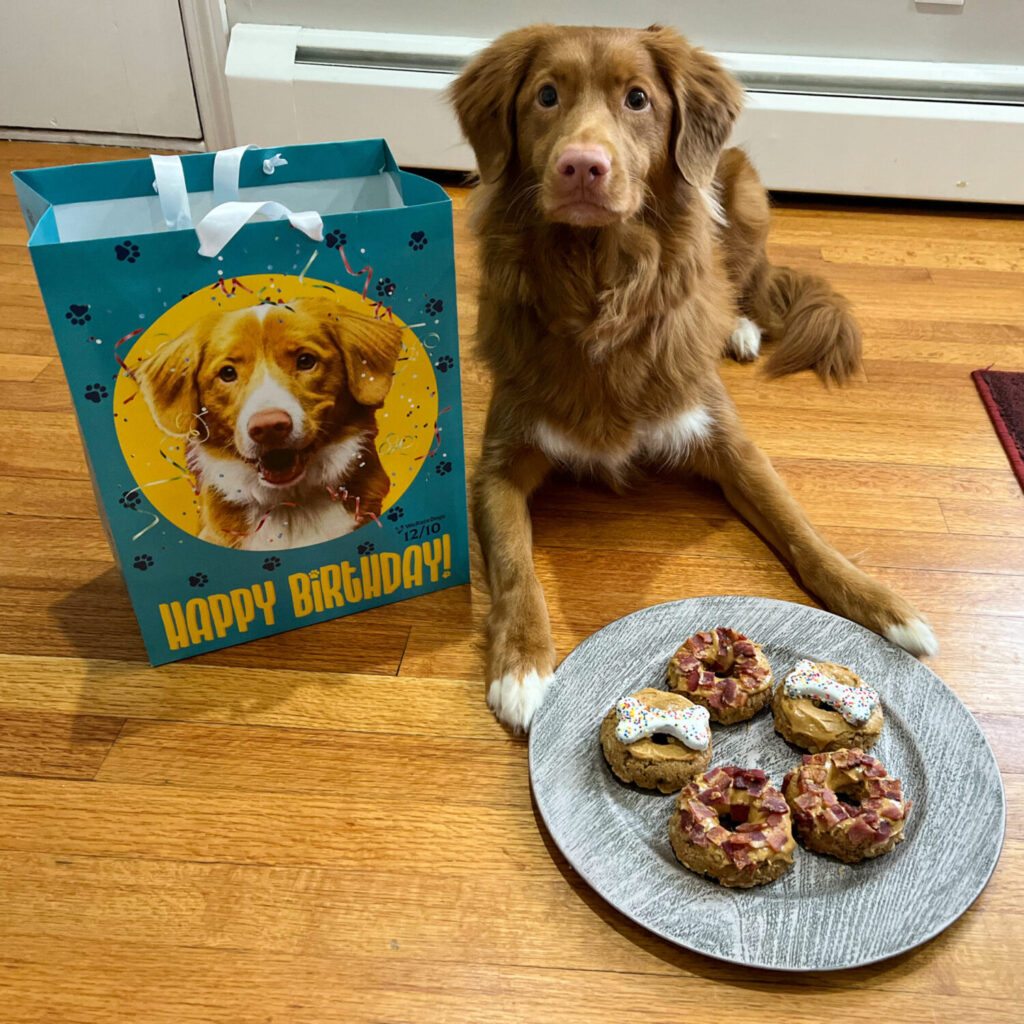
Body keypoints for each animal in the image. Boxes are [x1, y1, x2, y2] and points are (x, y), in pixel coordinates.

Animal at [452, 22, 937, 729]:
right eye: (545, 95)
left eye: (637, 98)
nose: (581, 166)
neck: (601, 286)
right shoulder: (497, 466)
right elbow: (516, 565)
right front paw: (522, 666)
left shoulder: (729, 442)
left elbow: (800, 527)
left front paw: (880, 603)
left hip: (744, 200)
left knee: (741, 282)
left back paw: (738, 327)